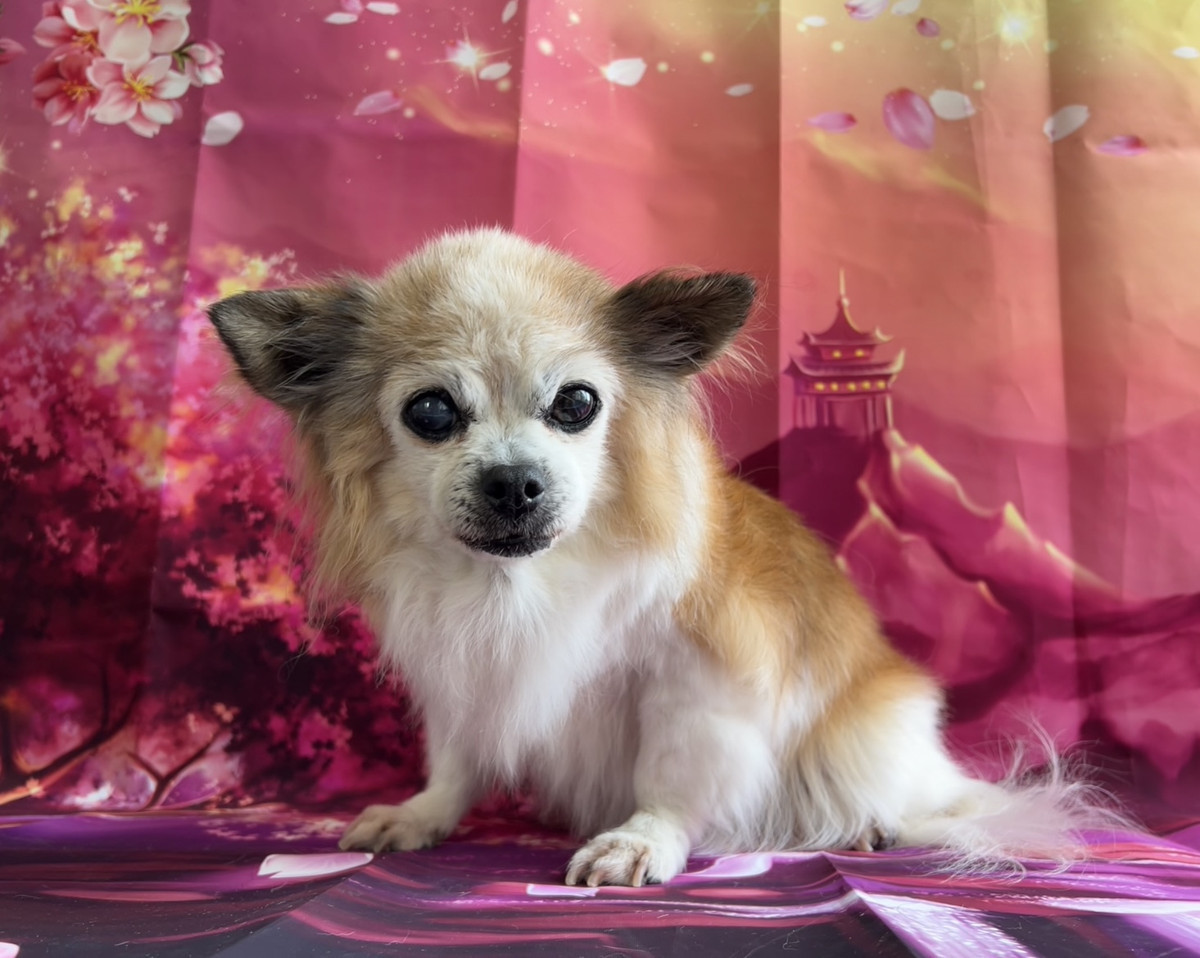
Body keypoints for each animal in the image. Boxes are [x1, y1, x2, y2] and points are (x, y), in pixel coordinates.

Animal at [208, 228, 1112, 886]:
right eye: (430, 413)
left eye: (576, 404)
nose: (514, 482)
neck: (516, 584)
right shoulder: (469, 672)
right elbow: (459, 758)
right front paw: (423, 813)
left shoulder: (696, 684)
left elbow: (672, 777)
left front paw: (641, 840)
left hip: (869, 738)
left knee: (922, 802)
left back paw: (873, 824)